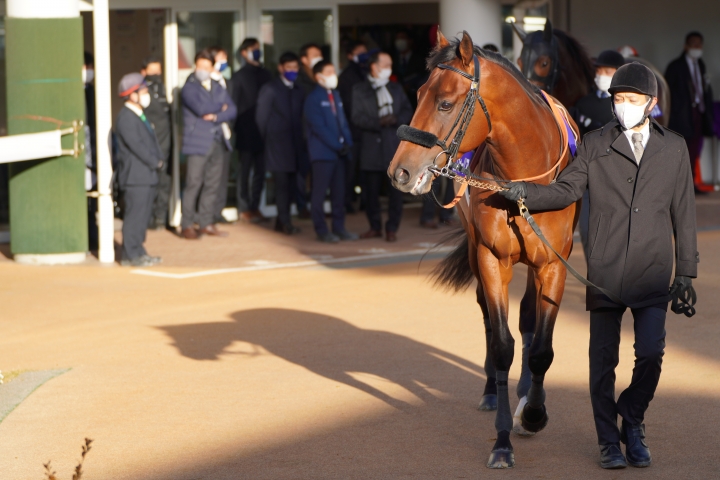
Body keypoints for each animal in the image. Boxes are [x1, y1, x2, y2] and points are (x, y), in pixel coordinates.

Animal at [388, 30, 579, 468]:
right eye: (418, 93)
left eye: (444, 102)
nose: (399, 171)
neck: (524, 183)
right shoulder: (492, 258)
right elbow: (502, 342)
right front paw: (502, 440)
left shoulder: (553, 263)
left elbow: (540, 346)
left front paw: (534, 412)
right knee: (491, 321)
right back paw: (494, 391)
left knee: (527, 319)